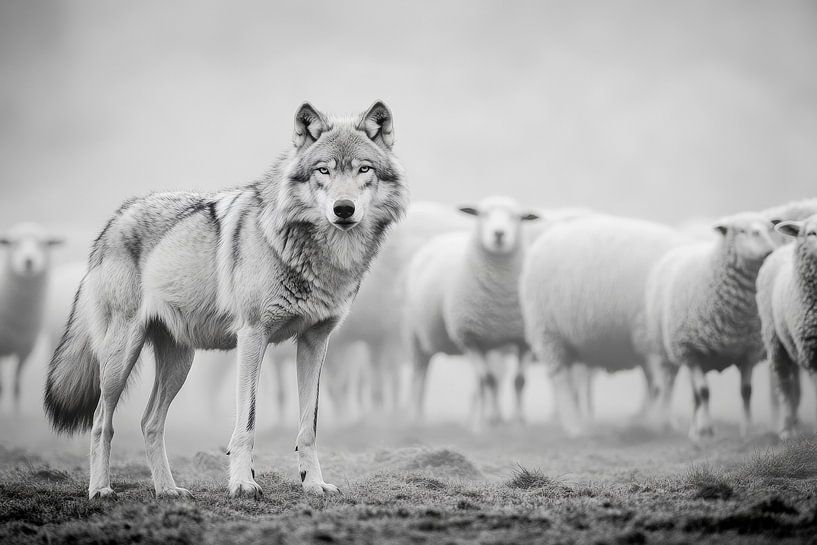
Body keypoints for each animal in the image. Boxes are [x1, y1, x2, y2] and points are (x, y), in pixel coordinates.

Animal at [44, 101, 408, 499]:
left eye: (364, 169)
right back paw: (100, 490)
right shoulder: (252, 336)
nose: (343, 209)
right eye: (323, 170)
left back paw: (167, 490)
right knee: (101, 421)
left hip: (180, 363)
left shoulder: (316, 341)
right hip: (120, 357)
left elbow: (308, 427)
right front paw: (243, 483)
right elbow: (246, 422)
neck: (320, 256)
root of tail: (116, 218)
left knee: (149, 422)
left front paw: (313, 484)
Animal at [406, 196, 539, 426]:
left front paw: (518, 421)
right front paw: (488, 423)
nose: (499, 234)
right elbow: (488, 380)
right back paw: (416, 418)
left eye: (517, 217)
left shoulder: (523, 339)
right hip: (417, 336)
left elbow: (518, 381)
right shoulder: (470, 338)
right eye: (483, 214)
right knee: (419, 375)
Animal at [520, 214, 687, 435]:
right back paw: (574, 427)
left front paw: (663, 422)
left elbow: (663, 384)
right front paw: (659, 423)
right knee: (561, 381)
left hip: (572, 342)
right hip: (549, 332)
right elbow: (663, 384)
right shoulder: (651, 340)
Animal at [645, 212, 775, 440]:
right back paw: (682, 426)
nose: (769, 250)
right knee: (680, 388)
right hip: (670, 353)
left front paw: (747, 429)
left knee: (694, 395)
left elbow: (746, 391)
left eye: (770, 229)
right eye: (741, 231)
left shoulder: (748, 352)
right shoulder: (692, 351)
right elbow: (704, 392)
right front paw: (704, 429)